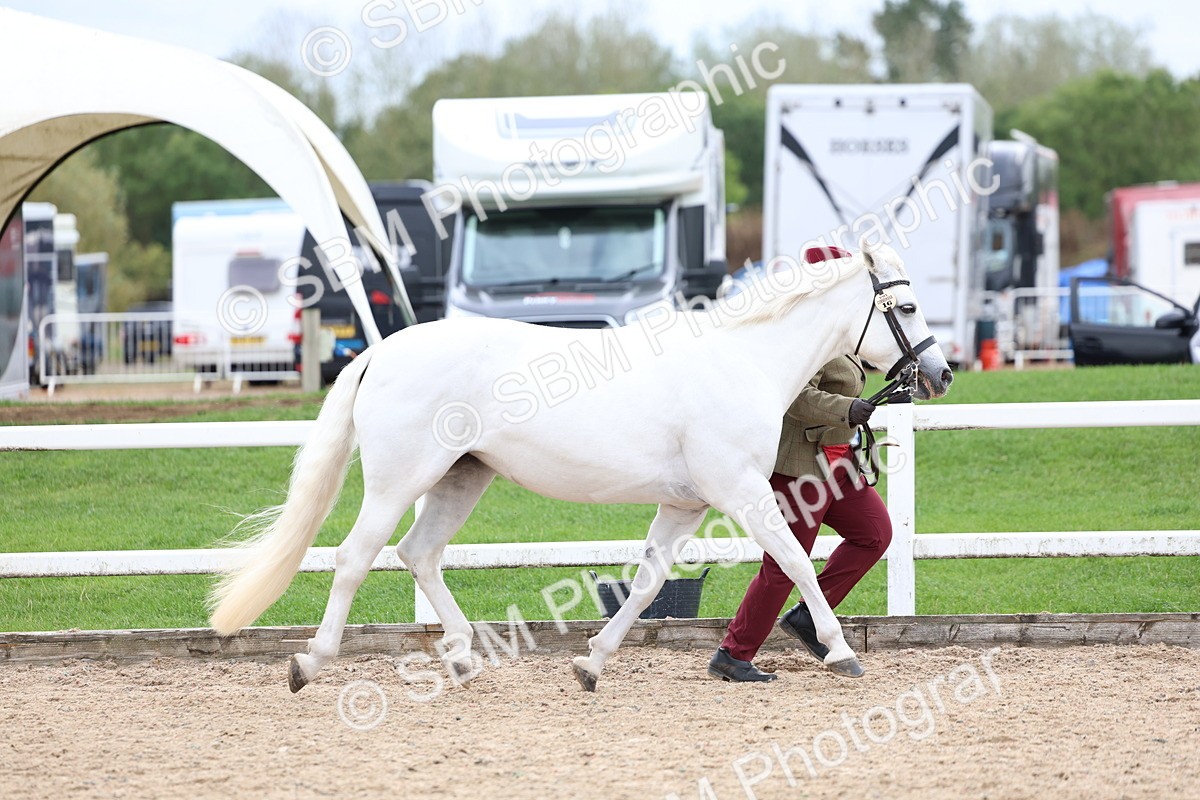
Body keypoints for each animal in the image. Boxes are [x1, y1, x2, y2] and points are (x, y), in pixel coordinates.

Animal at [208, 239, 953, 693]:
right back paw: (311, 661)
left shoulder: (685, 505)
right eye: (910, 304)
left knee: (418, 553)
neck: (742, 359)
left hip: (462, 476)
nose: (941, 373)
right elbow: (796, 563)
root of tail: (381, 351)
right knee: (355, 557)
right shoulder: (741, 491)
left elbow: (648, 584)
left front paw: (591, 663)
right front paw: (840, 651)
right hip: (401, 480)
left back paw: (464, 658)